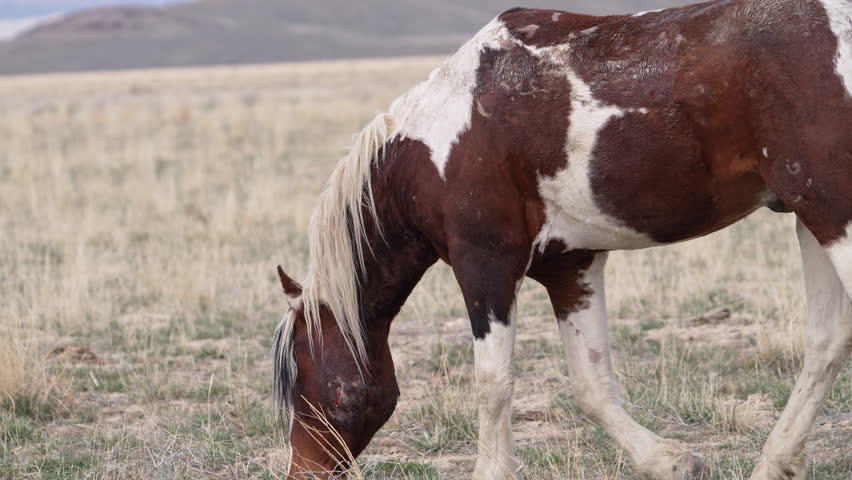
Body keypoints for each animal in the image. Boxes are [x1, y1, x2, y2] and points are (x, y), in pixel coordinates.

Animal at [272, 0, 852, 478]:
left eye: (301, 381)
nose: (302, 471)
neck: (433, 148)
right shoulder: (571, 266)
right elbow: (592, 384)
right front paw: (667, 460)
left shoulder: (485, 265)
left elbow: (493, 382)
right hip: (811, 218)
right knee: (825, 341)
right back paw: (776, 462)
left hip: (832, 216)